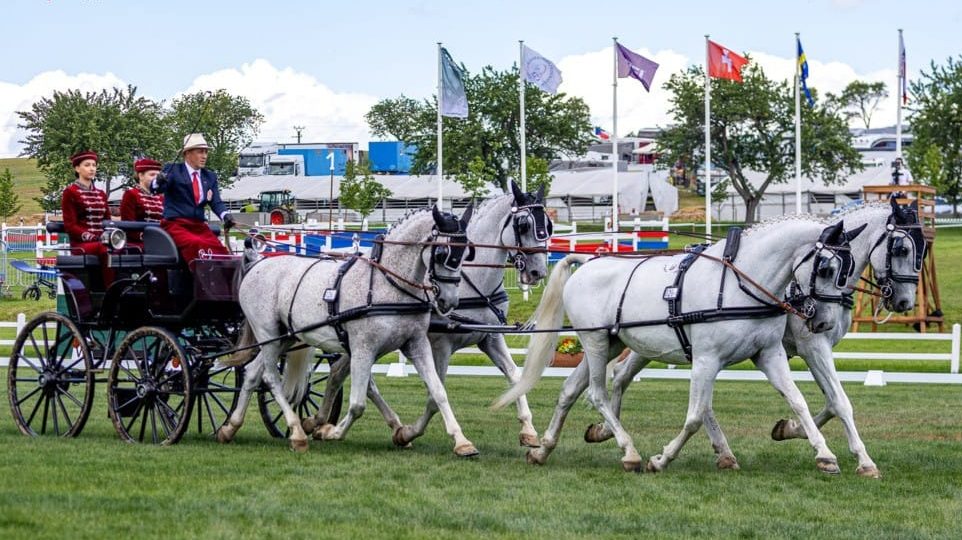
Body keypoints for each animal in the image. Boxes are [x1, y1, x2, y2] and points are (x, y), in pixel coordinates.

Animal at [214, 207, 476, 456]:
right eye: (441, 253)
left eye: (466, 253)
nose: (449, 301)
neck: (388, 283)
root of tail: (258, 263)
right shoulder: (363, 349)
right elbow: (358, 404)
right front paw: (330, 431)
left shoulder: (416, 344)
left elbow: (438, 392)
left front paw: (461, 442)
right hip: (267, 334)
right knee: (270, 378)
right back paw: (297, 432)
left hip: (285, 338)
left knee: (252, 373)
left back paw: (230, 427)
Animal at [492, 215, 860, 472]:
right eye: (826, 268)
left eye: (848, 271)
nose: (823, 322)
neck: (739, 283)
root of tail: (587, 262)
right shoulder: (707, 359)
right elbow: (696, 416)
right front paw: (662, 459)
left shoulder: (768, 354)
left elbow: (798, 401)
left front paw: (825, 455)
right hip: (594, 341)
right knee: (597, 394)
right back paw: (629, 452)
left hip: (609, 343)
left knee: (570, 390)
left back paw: (543, 449)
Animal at [580, 197, 928, 476]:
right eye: (901, 248)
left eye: (923, 252)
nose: (904, 302)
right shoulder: (813, 346)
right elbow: (839, 401)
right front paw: (846, 454)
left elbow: (829, 401)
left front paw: (791, 429)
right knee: (620, 378)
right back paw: (617, 436)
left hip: (657, 344)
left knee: (623, 376)